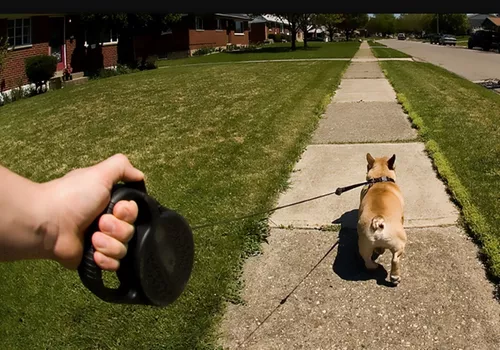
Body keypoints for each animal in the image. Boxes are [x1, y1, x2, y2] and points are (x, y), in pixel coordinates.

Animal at [356, 153, 406, 284]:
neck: (380, 178)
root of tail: (378, 220)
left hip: (365, 244)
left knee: (367, 259)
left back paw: (374, 264)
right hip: (400, 244)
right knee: (395, 259)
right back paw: (395, 277)